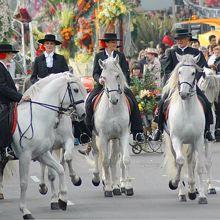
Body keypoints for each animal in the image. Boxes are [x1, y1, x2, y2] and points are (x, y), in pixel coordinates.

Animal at [10, 72, 85, 218]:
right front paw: (26, 210)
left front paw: (66, 193)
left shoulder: (48, 149)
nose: (83, 114)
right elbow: (25, 182)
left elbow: (62, 165)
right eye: (75, 90)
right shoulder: (25, 156)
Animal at [89, 55, 132, 197]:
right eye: (103, 77)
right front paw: (108, 188)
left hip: (115, 140)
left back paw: (118, 186)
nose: (114, 99)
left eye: (117, 75)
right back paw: (99, 179)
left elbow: (125, 160)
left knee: (114, 159)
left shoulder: (123, 135)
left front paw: (127, 186)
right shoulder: (103, 137)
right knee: (98, 154)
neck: (113, 109)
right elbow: (105, 161)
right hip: (95, 138)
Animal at [163, 53, 208, 205]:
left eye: (193, 73)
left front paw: (200, 195)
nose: (183, 94)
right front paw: (174, 183)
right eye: (179, 72)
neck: (187, 110)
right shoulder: (177, 139)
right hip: (172, 142)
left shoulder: (198, 139)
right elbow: (179, 162)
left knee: (190, 161)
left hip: (191, 143)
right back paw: (182, 193)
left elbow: (198, 167)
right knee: (179, 161)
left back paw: (192, 190)